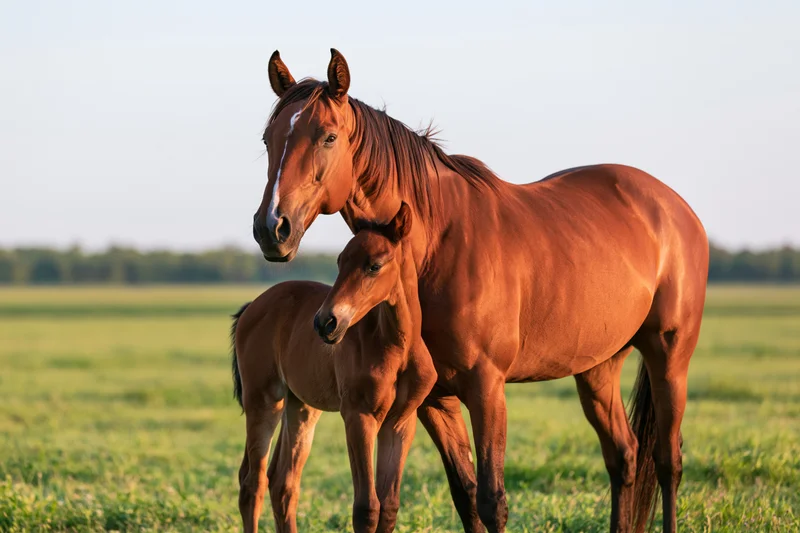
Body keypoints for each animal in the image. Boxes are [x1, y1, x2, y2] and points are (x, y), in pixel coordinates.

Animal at [233, 203, 437, 533]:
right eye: (340, 261)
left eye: (374, 266)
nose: (325, 322)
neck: (397, 348)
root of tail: (253, 306)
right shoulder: (358, 416)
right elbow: (367, 508)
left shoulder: (400, 422)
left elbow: (389, 507)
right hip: (264, 400)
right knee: (253, 483)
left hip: (300, 407)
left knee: (283, 483)